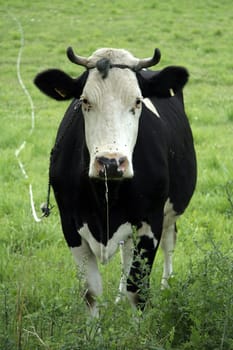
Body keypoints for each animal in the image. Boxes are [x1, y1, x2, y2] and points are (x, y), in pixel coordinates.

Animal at [33, 47, 196, 318]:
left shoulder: (150, 222)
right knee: (126, 255)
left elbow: (138, 291)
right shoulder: (69, 224)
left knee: (169, 242)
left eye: (137, 102)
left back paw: (167, 286)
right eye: (85, 101)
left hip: (170, 212)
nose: (110, 162)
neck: (106, 195)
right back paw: (119, 298)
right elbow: (90, 293)